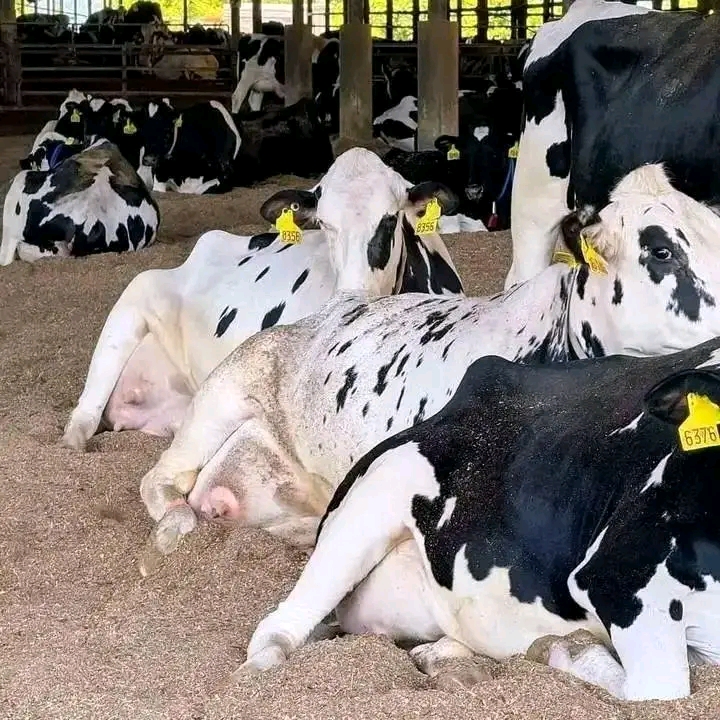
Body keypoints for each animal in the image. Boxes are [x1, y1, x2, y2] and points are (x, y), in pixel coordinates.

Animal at [234, 338, 720, 702]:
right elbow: (660, 690)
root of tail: (486, 375)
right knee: (281, 626)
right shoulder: (615, 579)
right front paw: (566, 652)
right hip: (374, 497)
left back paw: (447, 662)